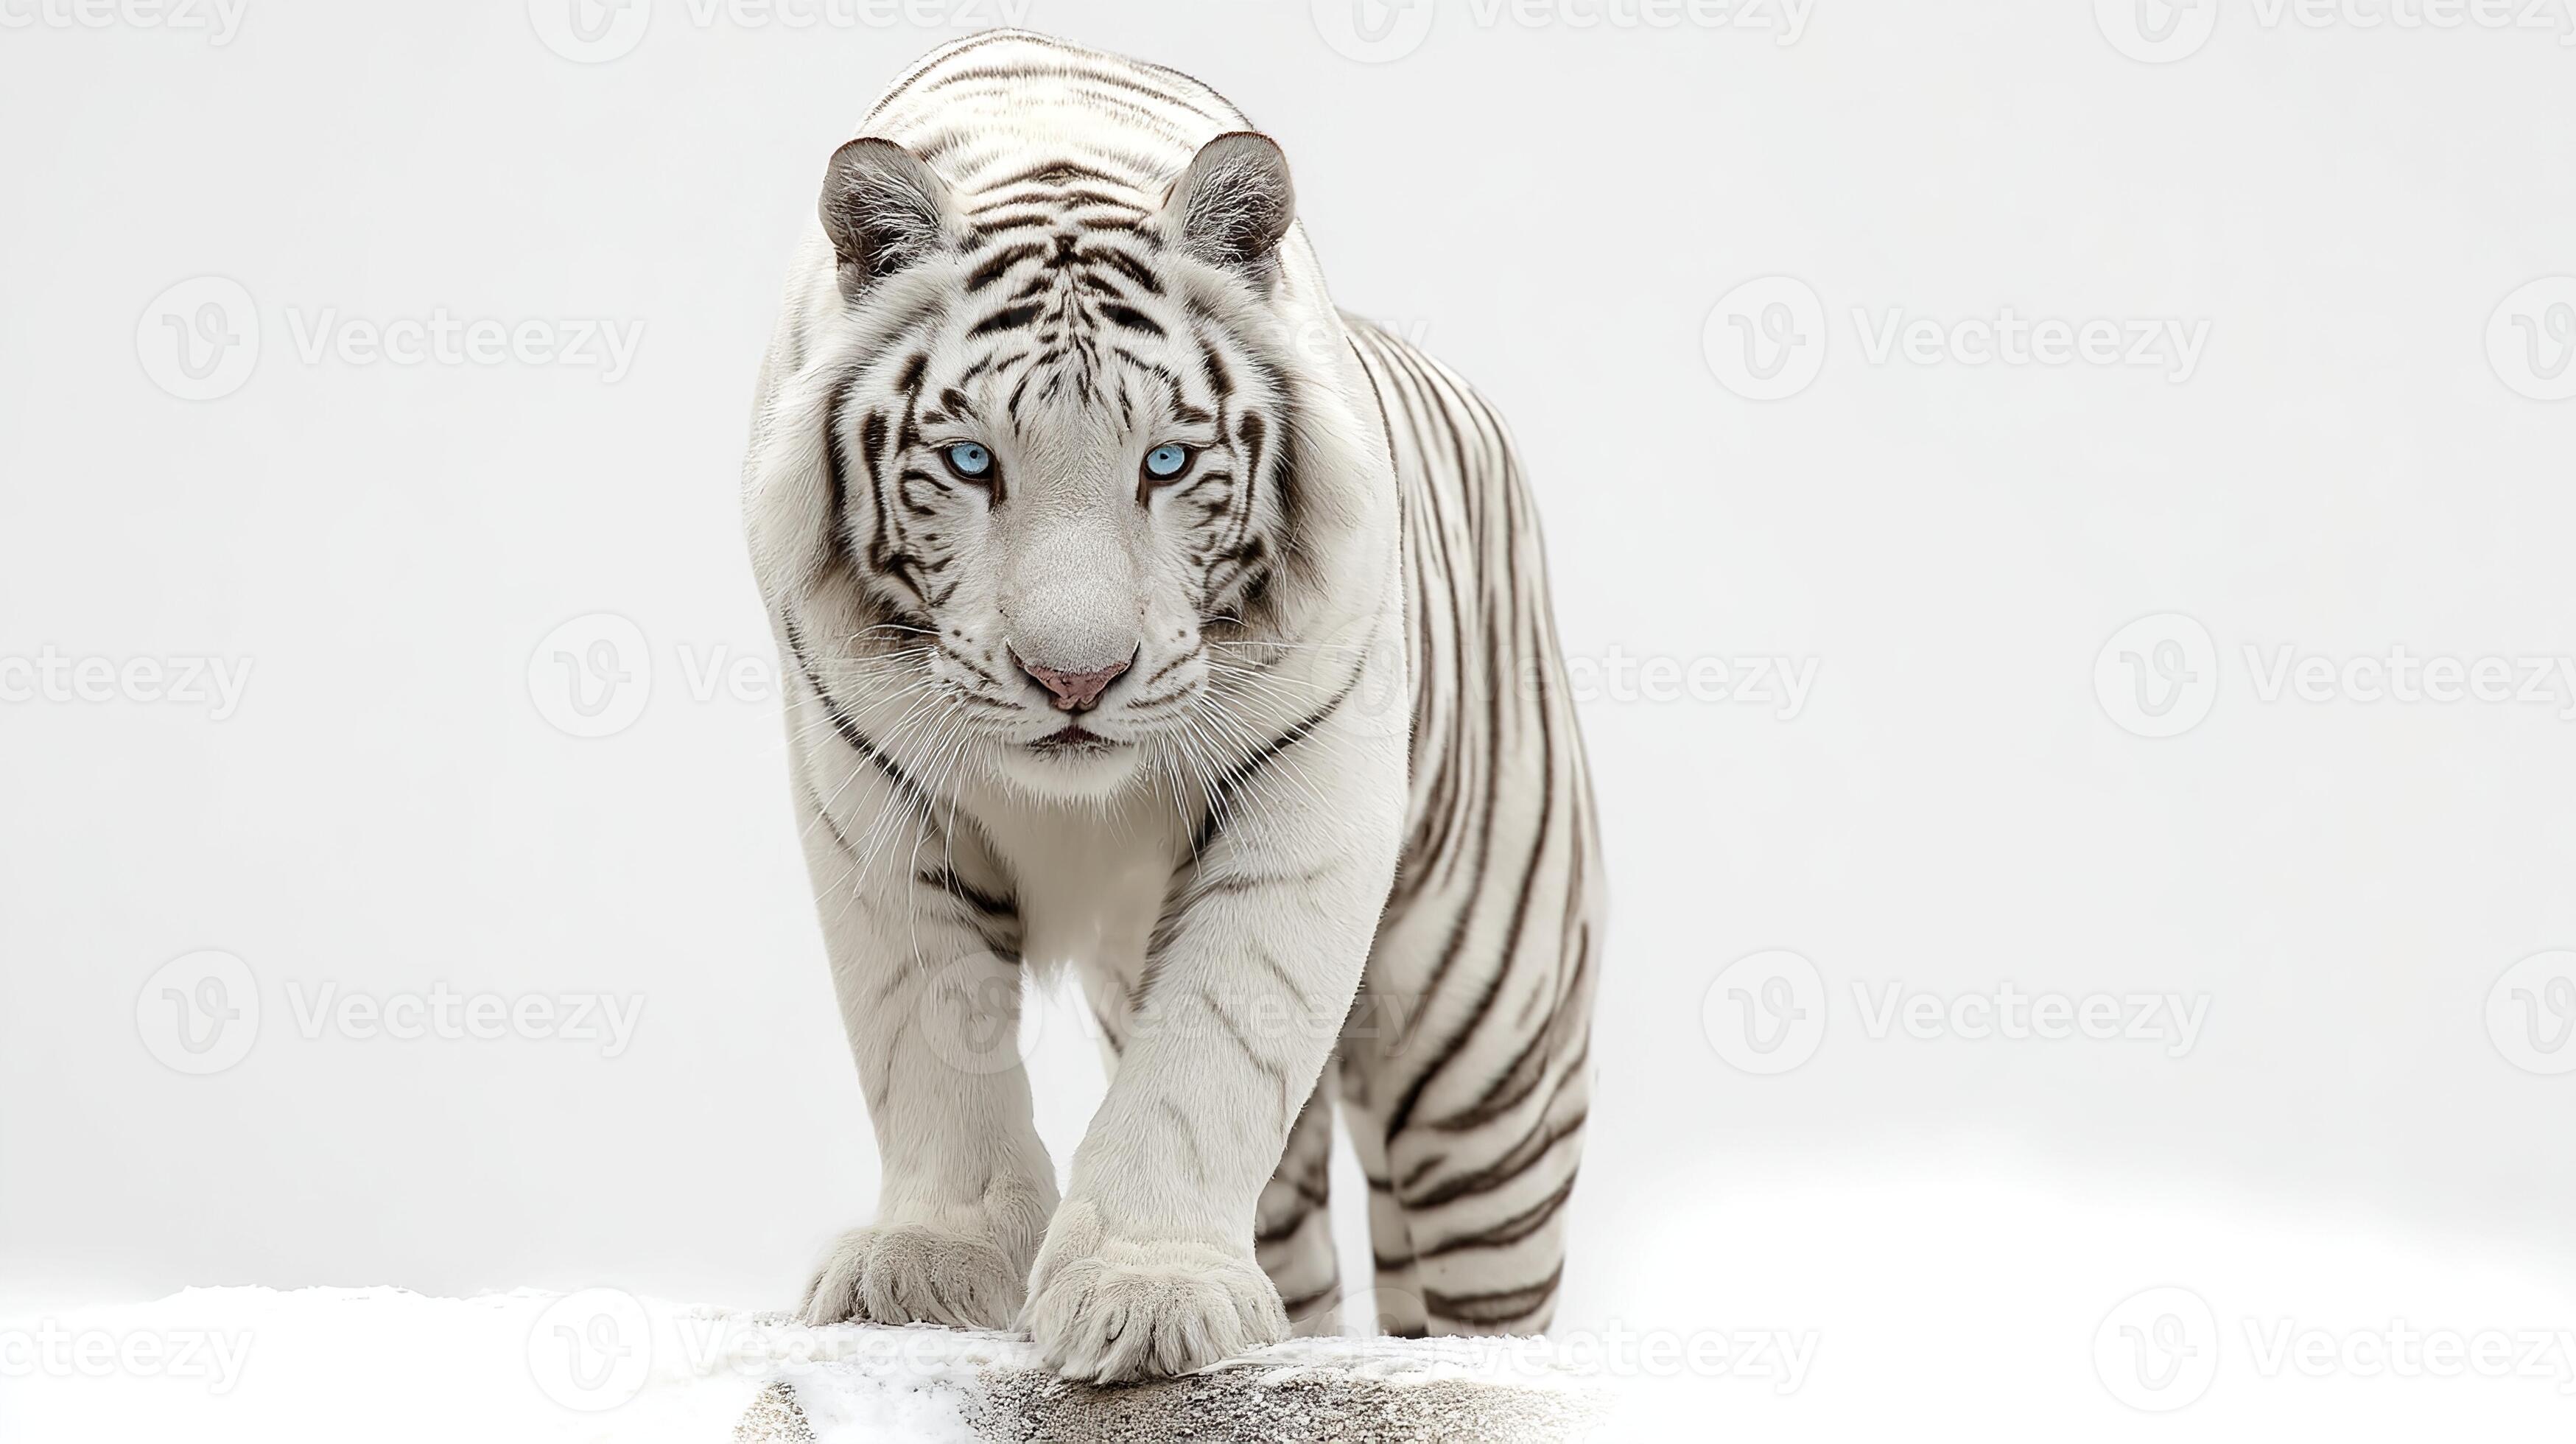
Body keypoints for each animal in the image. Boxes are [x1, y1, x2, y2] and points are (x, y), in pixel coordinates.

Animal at [740, 28, 1602, 1383]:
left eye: (1167, 462)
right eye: (972, 463)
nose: (1074, 679)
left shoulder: (1312, 783)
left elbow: (1210, 1055)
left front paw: (1148, 1294)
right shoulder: (868, 785)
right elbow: (924, 1032)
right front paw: (926, 1265)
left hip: (1490, 1050)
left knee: (1489, 1286)